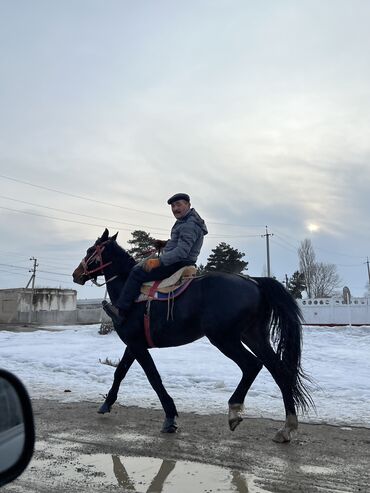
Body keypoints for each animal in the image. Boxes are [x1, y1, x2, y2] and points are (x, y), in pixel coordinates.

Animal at [73, 229, 312, 440]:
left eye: (91, 250)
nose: (76, 274)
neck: (130, 295)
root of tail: (254, 281)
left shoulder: (137, 345)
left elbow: (153, 378)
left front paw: (170, 418)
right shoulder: (134, 344)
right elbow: (120, 372)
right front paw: (106, 403)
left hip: (224, 339)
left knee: (252, 365)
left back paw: (235, 411)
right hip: (253, 336)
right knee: (279, 370)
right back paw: (287, 428)